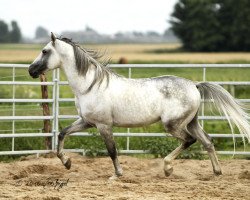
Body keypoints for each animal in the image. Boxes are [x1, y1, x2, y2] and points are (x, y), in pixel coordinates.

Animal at [28, 33, 249, 180]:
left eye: (45, 51)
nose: (31, 70)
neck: (90, 85)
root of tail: (194, 85)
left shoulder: (103, 125)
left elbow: (112, 151)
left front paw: (117, 175)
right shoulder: (87, 122)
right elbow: (62, 133)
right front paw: (67, 163)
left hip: (173, 125)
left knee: (190, 140)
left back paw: (167, 168)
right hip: (191, 122)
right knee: (207, 142)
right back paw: (217, 172)